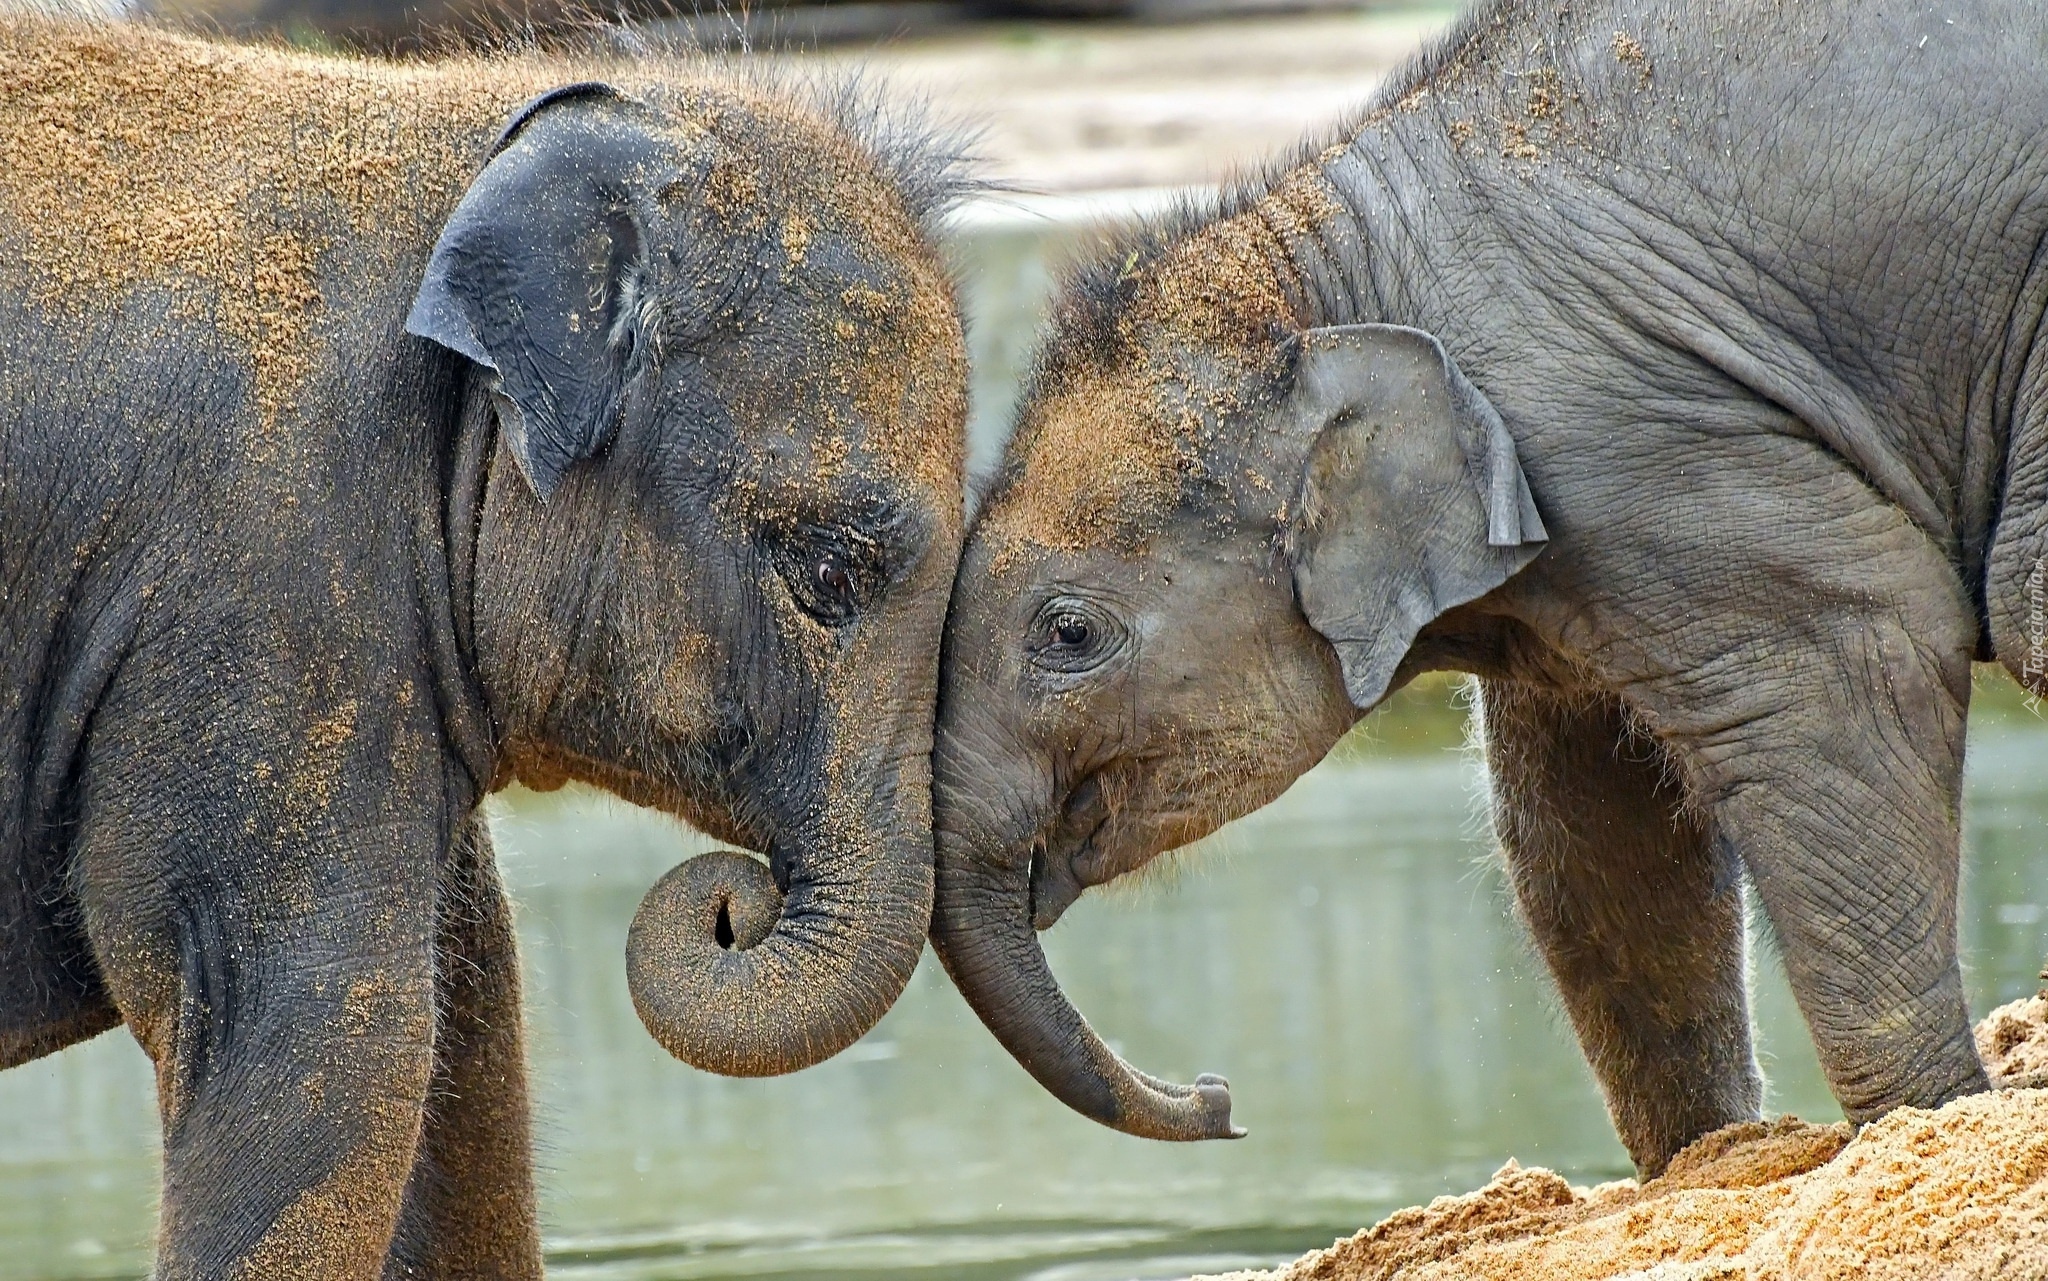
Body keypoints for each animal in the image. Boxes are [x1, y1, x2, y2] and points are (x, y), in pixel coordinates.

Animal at [0, 12, 966, 1278]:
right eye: (830, 574)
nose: (736, 907)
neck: (473, 139)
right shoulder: (268, 603)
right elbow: (323, 1051)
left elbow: (465, 1039)